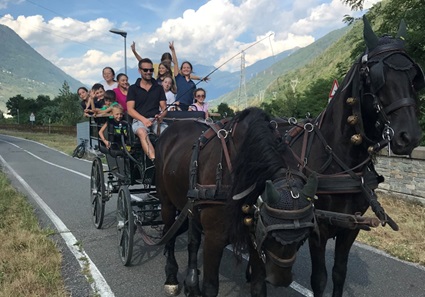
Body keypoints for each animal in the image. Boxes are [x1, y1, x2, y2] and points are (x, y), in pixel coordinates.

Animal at [155, 107, 314, 294]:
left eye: (304, 237)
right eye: (271, 236)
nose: (280, 280)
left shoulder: (254, 236)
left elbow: (258, 286)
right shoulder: (214, 238)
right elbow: (210, 287)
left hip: (191, 205)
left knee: (193, 241)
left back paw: (191, 282)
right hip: (167, 204)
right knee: (169, 234)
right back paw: (171, 277)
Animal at [276, 16, 422, 296]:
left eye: (414, 76)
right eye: (375, 77)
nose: (409, 136)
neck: (340, 162)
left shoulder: (350, 226)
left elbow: (339, 273)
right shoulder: (318, 228)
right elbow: (319, 278)